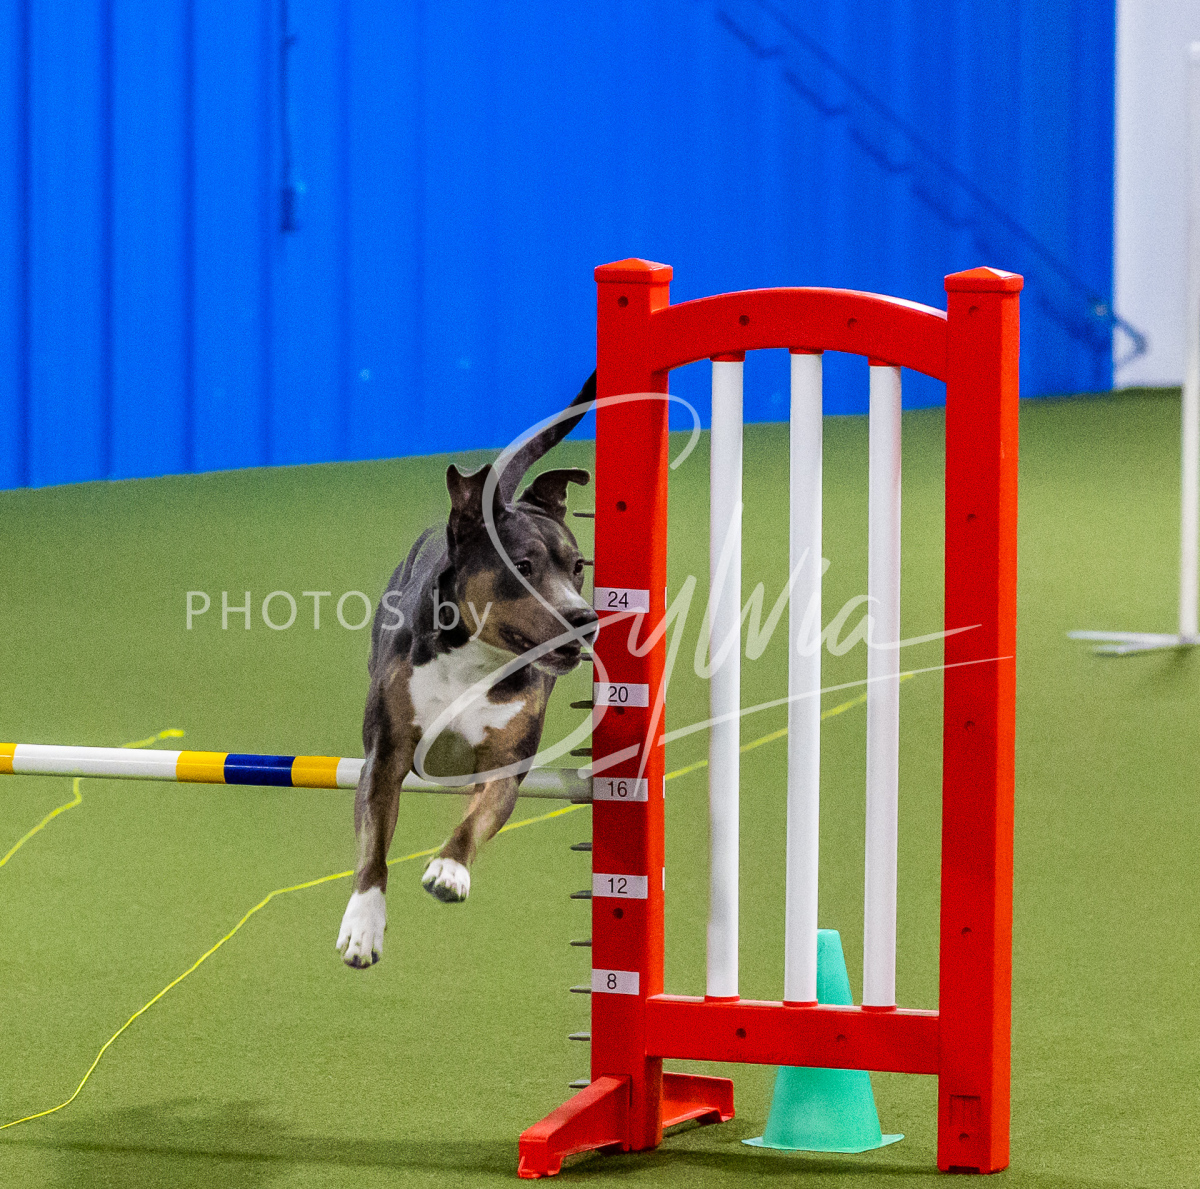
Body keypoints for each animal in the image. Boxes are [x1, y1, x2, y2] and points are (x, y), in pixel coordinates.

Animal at [336, 375, 599, 968]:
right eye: (521, 567)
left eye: (578, 568)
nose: (584, 618)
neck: (473, 661)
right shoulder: (385, 756)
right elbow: (372, 848)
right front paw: (363, 923)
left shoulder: (504, 763)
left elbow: (477, 819)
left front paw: (449, 868)